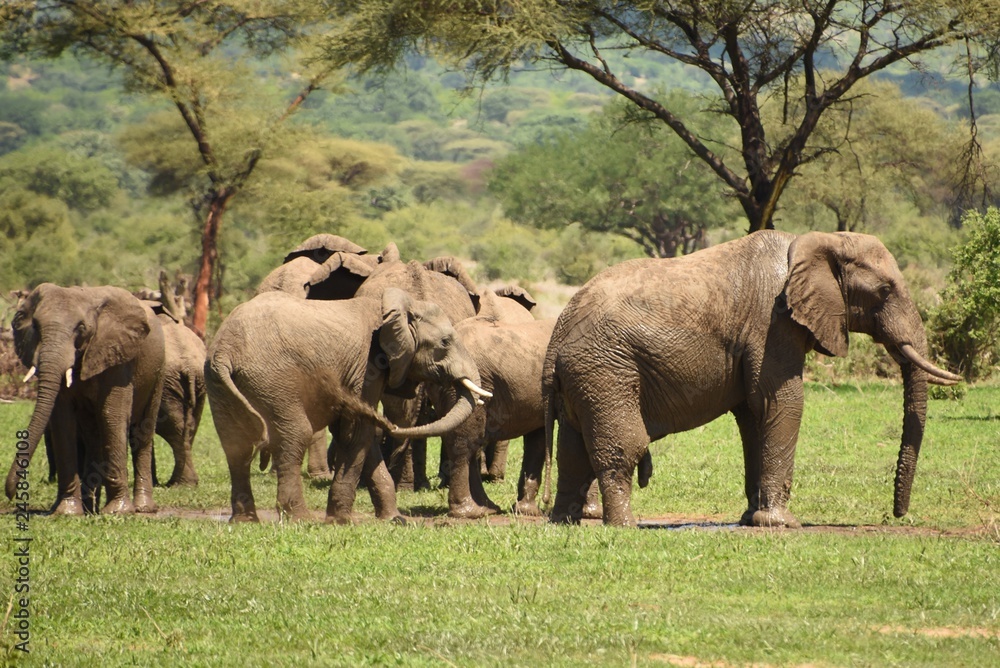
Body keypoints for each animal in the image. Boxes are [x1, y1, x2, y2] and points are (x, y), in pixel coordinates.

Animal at [5, 284, 165, 515]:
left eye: (80, 328)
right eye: (35, 326)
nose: (9, 494)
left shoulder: (118, 356)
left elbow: (111, 415)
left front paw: (117, 512)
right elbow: (62, 420)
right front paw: (67, 512)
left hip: (158, 371)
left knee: (143, 432)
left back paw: (143, 508)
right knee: (93, 437)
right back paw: (90, 508)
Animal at [205, 288, 491, 523]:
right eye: (445, 342)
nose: (392, 425)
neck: (393, 308)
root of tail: (225, 351)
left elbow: (361, 436)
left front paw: (394, 520)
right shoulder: (367, 368)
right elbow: (357, 432)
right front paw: (341, 520)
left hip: (218, 385)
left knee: (236, 447)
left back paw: (245, 521)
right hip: (274, 381)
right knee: (295, 436)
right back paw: (301, 519)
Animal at [543, 230, 962, 527]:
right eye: (885, 290)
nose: (899, 515)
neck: (816, 241)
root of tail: (557, 332)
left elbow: (752, 414)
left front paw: (752, 519)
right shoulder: (771, 324)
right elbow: (782, 402)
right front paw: (782, 524)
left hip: (583, 377)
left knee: (572, 447)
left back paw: (567, 521)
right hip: (605, 370)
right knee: (622, 447)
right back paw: (626, 526)